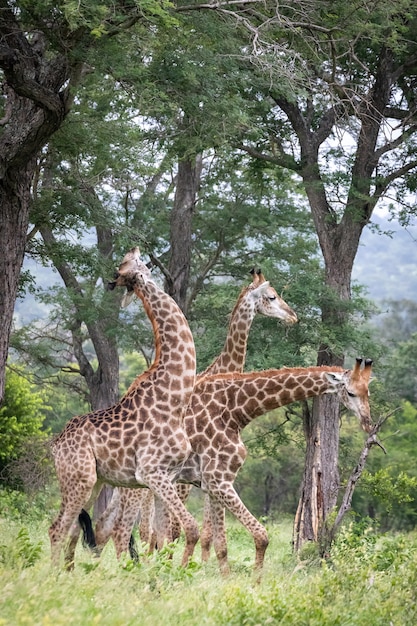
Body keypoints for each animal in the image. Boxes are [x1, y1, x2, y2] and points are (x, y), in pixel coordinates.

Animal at [48, 246, 198, 568]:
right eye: (125, 265)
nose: (134, 249)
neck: (176, 397)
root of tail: (56, 444)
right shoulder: (151, 472)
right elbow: (187, 529)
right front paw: (182, 572)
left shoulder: (166, 476)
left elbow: (164, 535)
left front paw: (163, 574)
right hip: (79, 477)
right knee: (58, 527)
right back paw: (52, 577)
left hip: (92, 482)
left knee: (71, 529)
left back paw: (67, 573)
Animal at [92, 266, 298, 552]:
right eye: (271, 296)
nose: (293, 316)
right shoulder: (192, 478)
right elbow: (178, 531)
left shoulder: (197, 479)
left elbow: (201, 533)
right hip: (140, 481)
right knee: (126, 528)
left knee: (111, 524)